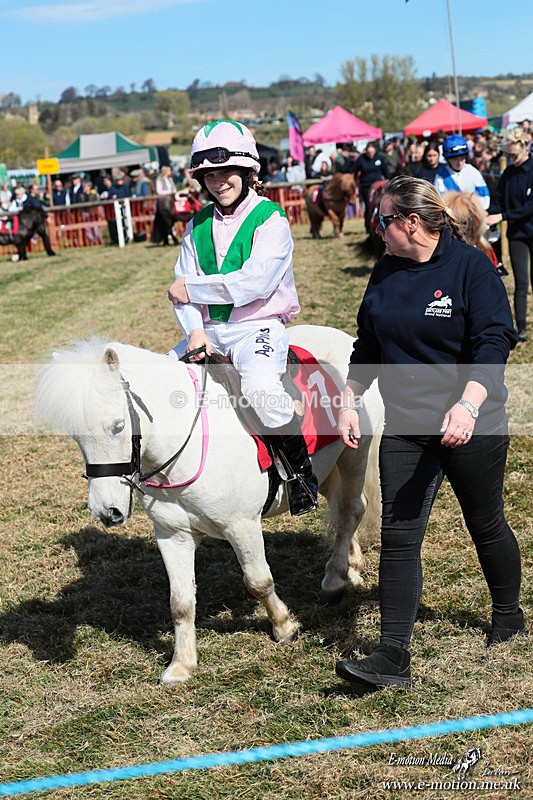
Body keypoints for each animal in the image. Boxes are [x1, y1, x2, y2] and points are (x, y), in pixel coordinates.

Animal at [35, 324, 383, 685]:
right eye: (75, 436)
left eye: (118, 426)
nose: (106, 511)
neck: (183, 449)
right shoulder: (172, 535)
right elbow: (180, 602)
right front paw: (181, 664)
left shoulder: (241, 526)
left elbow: (258, 582)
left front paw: (284, 626)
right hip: (326, 469)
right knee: (341, 509)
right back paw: (350, 566)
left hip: (354, 453)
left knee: (352, 509)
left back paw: (335, 578)